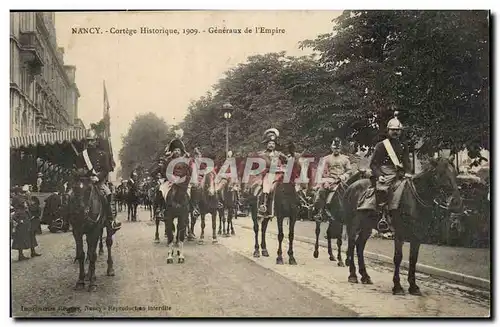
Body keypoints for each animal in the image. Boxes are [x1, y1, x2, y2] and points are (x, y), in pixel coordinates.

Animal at [342, 158, 462, 296]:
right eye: (440, 174)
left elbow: (413, 259)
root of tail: (351, 187)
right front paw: (397, 286)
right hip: (353, 226)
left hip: (366, 228)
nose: (456, 202)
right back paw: (352, 275)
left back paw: (365, 276)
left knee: (359, 246)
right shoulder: (399, 233)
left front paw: (413, 287)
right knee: (351, 245)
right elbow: (398, 257)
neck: (413, 200)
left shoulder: (417, 236)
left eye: (455, 173)